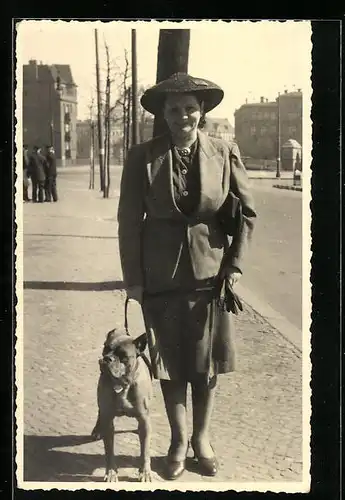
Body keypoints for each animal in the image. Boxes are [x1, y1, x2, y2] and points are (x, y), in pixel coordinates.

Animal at [91, 328, 152, 480]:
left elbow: (145, 451)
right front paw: (111, 473)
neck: (122, 384)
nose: (107, 358)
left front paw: (145, 472)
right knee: (100, 412)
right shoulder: (108, 420)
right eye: (106, 348)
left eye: (123, 355)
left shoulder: (144, 420)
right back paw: (97, 429)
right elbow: (109, 451)